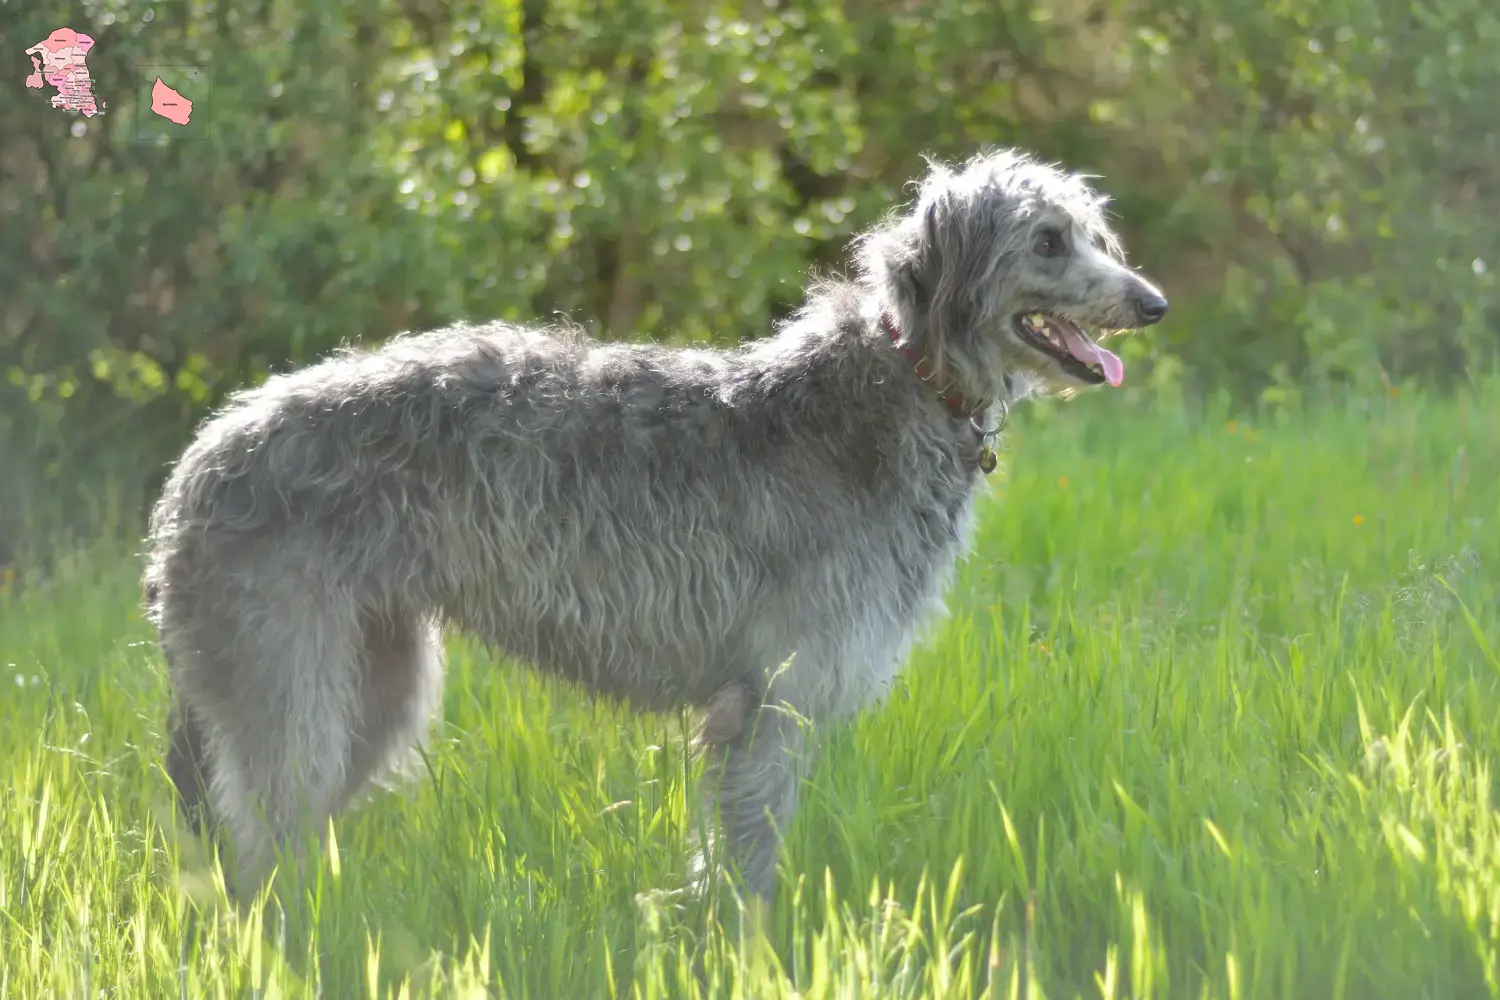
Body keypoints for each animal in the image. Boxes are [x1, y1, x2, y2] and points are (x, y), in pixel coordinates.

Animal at [143, 146, 1170, 899]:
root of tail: (197, 462)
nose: (1154, 302)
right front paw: (752, 952)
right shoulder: (772, 700)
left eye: (1090, 232)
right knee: (259, 847)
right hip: (286, 677)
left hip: (371, 683)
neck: (901, 377)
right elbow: (748, 861)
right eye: (1046, 240)